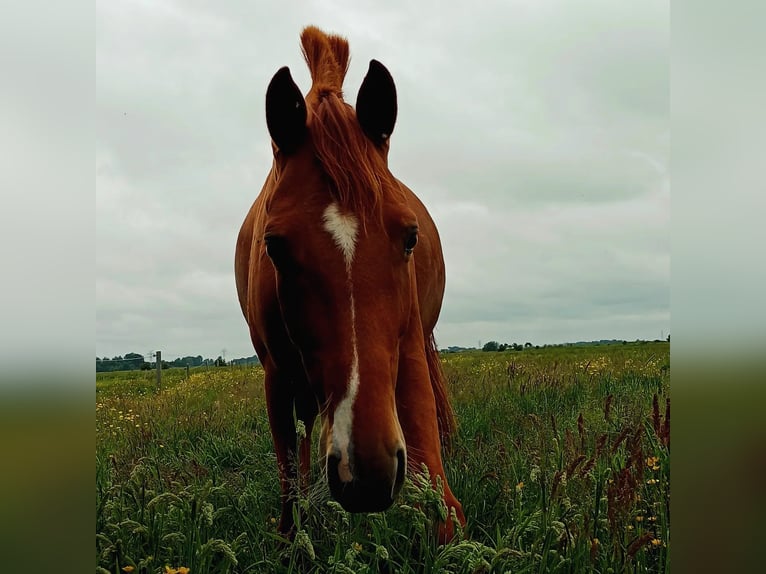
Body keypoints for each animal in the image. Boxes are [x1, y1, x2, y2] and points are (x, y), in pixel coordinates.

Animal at [234, 24, 464, 544]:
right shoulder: (276, 377)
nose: (367, 474)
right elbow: (290, 484)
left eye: (410, 236)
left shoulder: (409, 350)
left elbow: (436, 483)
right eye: (274, 247)